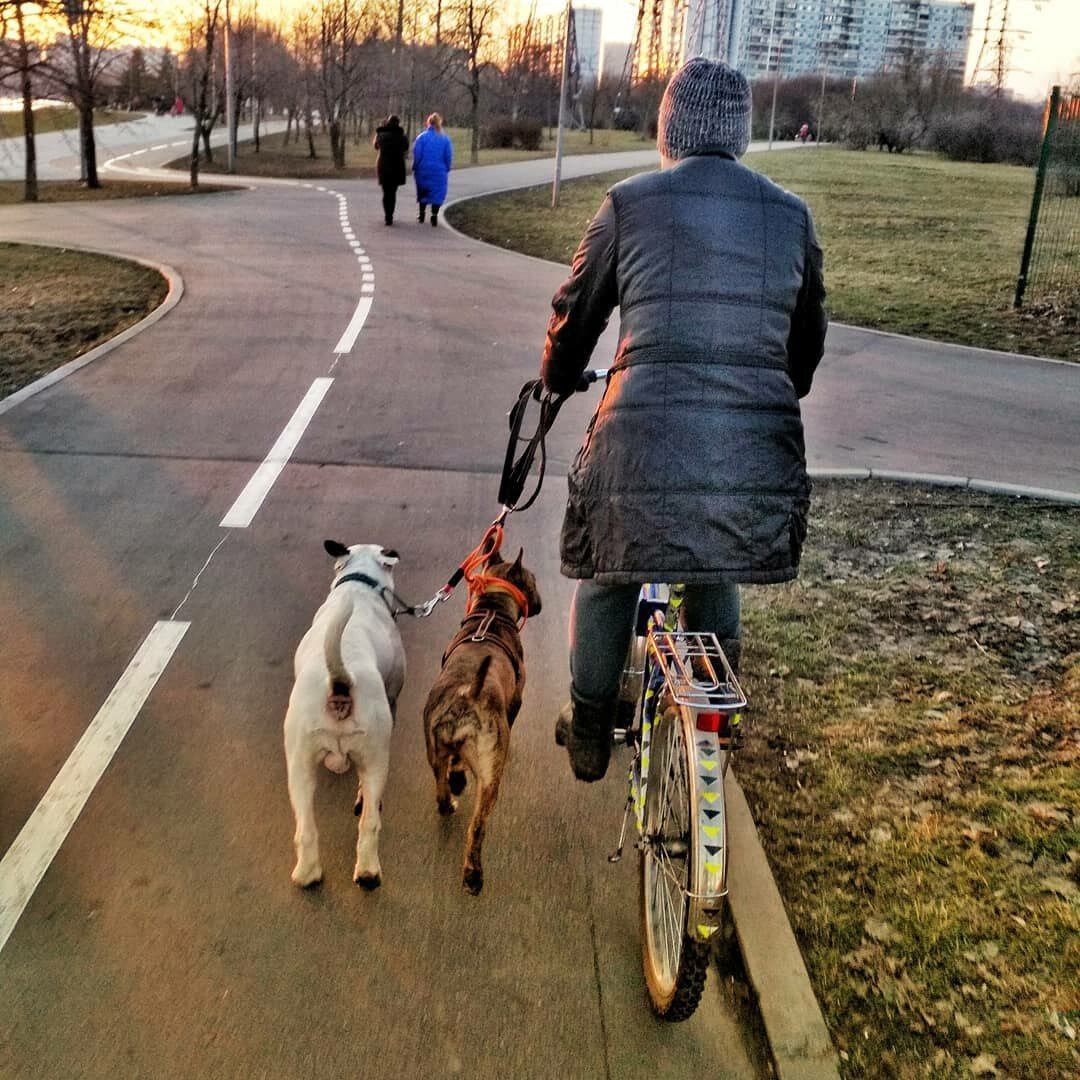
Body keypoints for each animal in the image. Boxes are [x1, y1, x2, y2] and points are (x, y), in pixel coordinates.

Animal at [282, 544, 406, 889]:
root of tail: (340, 680)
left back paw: (308, 874)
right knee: (370, 818)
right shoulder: (393, 696)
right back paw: (368, 871)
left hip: (299, 764)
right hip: (376, 755)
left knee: (306, 828)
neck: (359, 584)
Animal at [421, 548, 540, 894]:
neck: (492, 611)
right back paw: (473, 875)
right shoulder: (516, 701)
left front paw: (458, 777)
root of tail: (468, 694)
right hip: (489, 780)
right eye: (533, 579)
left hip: (435, 749)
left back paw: (451, 796)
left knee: (441, 789)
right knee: (477, 827)